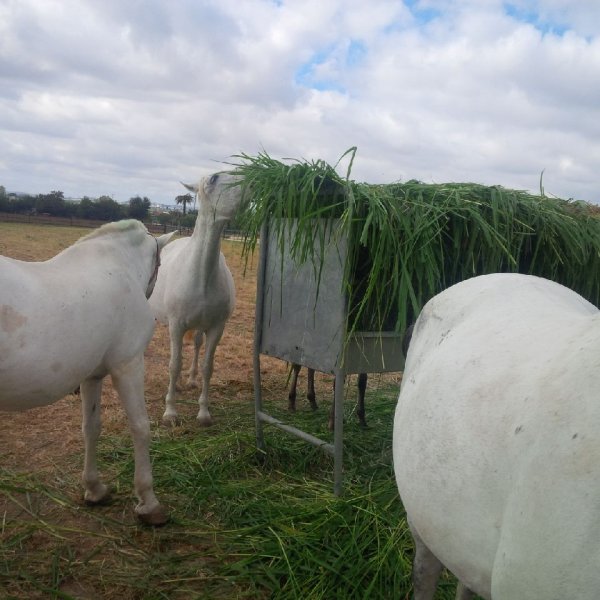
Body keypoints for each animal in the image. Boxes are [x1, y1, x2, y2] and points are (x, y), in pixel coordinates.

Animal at [1, 221, 176, 524]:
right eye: (159, 265)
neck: (117, 266)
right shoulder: (128, 365)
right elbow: (140, 427)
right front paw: (149, 502)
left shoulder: (91, 376)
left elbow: (91, 428)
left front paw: (95, 489)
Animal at [148, 171, 244, 426]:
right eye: (214, 178)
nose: (252, 180)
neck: (200, 272)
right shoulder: (175, 325)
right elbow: (174, 365)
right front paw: (170, 412)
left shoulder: (217, 327)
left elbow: (207, 366)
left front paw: (203, 413)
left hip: (200, 326)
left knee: (197, 345)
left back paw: (189, 380)